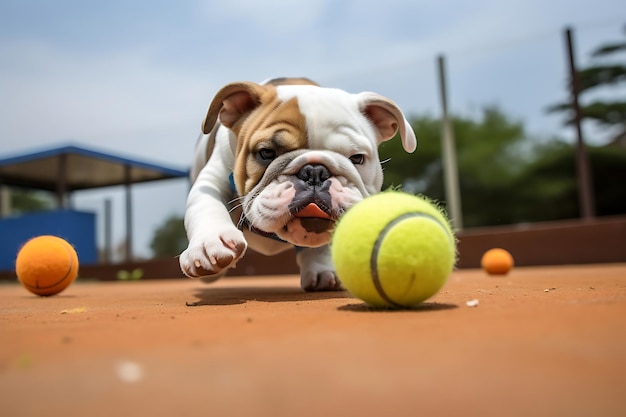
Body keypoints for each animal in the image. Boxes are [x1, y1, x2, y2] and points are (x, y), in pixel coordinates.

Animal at [178, 77, 416, 290]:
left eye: (356, 158)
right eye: (266, 153)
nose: (314, 172)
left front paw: (322, 268)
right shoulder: (213, 177)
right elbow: (206, 204)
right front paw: (211, 244)